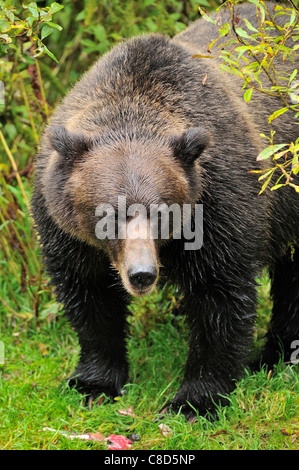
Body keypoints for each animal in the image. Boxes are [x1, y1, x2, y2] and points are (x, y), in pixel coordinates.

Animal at [31, 1, 299, 420]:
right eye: (108, 214)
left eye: (162, 212)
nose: (142, 274)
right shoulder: (66, 229)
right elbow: (89, 296)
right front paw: (94, 383)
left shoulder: (221, 206)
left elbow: (219, 300)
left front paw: (195, 400)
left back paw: (274, 356)